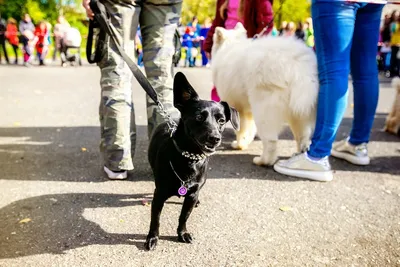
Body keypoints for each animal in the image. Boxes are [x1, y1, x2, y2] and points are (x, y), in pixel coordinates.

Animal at [145, 71, 239, 251]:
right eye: (199, 117)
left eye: (221, 120)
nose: (215, 138)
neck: (190, 158)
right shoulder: (159, 196)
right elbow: (155, 220)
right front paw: (152, 238)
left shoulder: (192, 195)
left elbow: (184, 216)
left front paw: (182, 233)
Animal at [212, 23, 318, 165]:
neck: (231, 46)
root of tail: (296, 64)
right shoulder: (248, 110)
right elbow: (250, 130)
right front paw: (245, 142)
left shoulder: (239, 108)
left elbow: (241, 130)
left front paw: (239, 145)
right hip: (299, 112)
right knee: (302, 136)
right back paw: (298, 154)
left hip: (264, 110)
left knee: (271, 141)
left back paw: (263, 161)